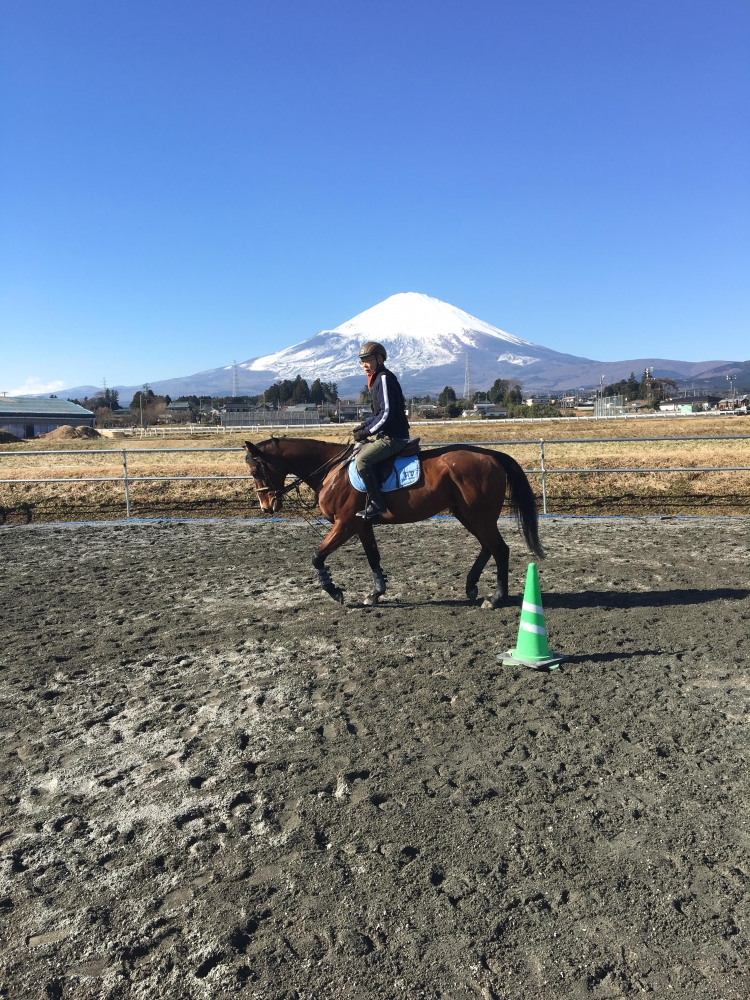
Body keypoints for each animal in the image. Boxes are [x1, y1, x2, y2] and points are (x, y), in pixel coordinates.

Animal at [243, 437, 544, 607]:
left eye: (256, 470)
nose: (266, 506)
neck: (332, 469)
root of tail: (492, 455)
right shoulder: (362, 526)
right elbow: (373, 558)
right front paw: (375, 593)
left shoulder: (345, 524)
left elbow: (317, 557)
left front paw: (335, 592)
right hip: (466, 514)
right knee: (487, 547)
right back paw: (471, 587)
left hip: (478, 515)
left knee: (500, 549)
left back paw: (495, 599)